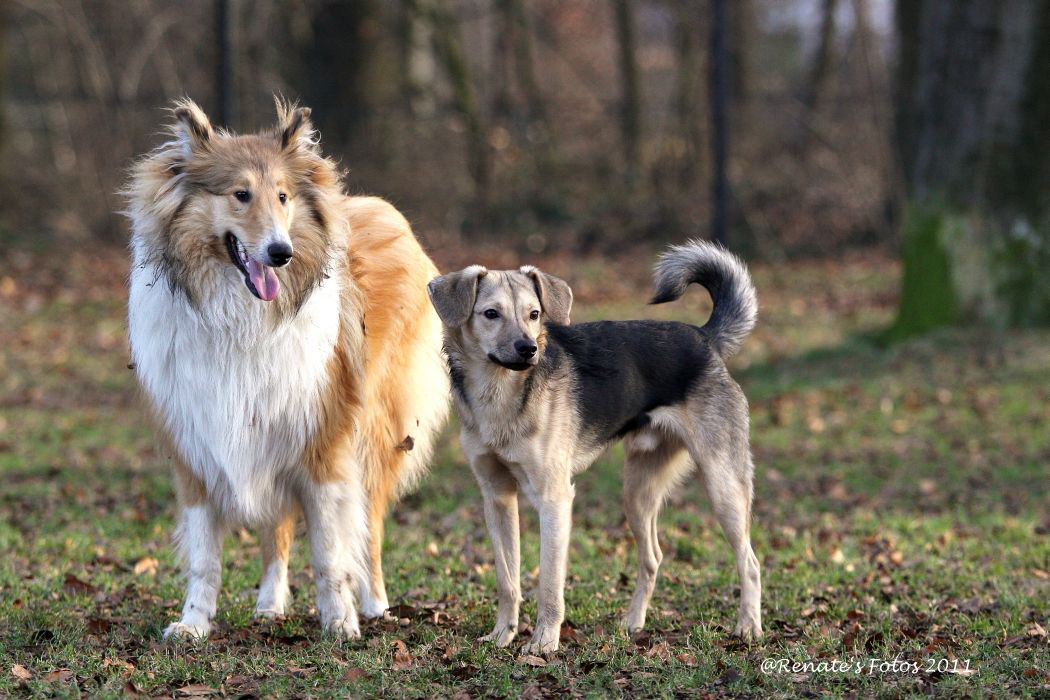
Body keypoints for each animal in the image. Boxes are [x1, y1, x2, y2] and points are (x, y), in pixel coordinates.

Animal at [124, 98, 449, 642]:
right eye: (240, 194)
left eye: (282, 196)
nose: (281, 253)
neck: (240, 319)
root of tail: (383, 209)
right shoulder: (200, 446)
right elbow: (205, 558)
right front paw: (193, 624)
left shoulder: (324, 442)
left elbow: (330, 551)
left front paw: (339, 622)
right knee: (276, 530)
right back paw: (270, 605)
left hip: (375, 431)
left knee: (369, 528)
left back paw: (374, 605)